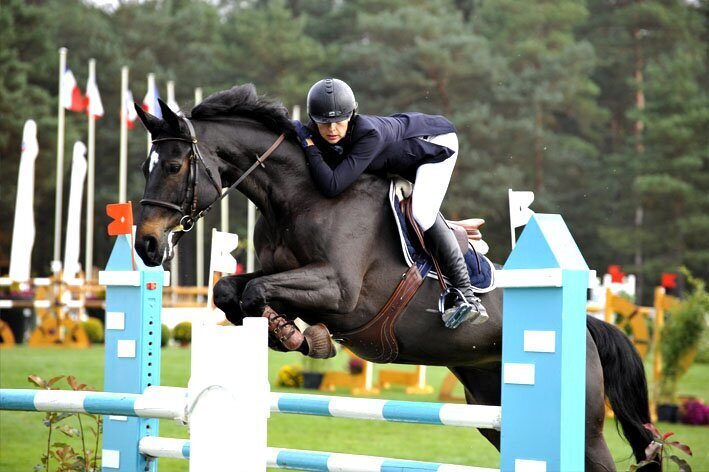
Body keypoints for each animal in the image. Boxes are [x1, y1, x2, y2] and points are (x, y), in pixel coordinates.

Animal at [134, 83, 660, 470]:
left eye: (175, 165)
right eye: (145, 166)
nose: (147, 246)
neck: (300, 194)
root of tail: (586, 326)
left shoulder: (339, 291)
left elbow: (257, 291)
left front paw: (301, 336)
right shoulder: (286, 274)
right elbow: (232, 289)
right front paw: (289, 333)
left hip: (584, 427)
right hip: (491, 409)